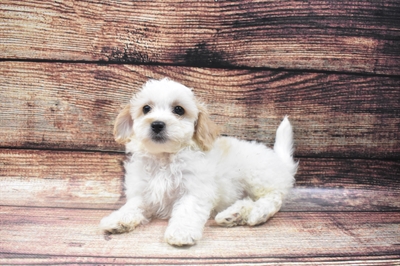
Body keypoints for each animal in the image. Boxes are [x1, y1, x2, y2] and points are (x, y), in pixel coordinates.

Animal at [99, 78, 296, 246]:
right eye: (146, 108)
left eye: (179, 110)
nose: (157, 124)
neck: (164, 157)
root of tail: (280, 162)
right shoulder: (144, 191)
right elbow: (132, 205)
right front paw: (116, 219)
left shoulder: (195, 190)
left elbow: (187, 210)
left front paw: (181, 233)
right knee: (248, 200)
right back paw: (233, 215)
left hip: (257, 175)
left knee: (273, 198)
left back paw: (257, 213)